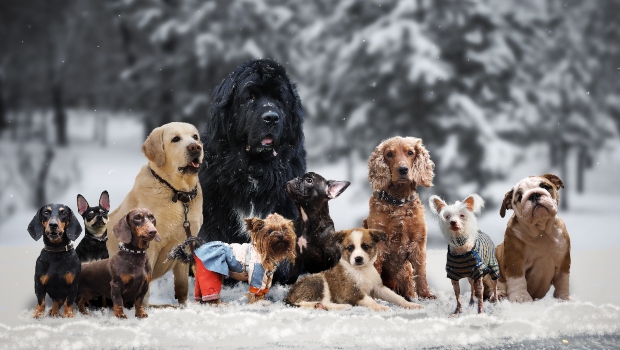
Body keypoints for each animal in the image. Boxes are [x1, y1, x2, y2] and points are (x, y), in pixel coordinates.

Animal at [106, 123, 203, 306]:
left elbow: (182, 287)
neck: (177, 193)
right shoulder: (149, 247)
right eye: (175, 139)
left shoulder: (185, 245)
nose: (195, 147)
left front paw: (184, 306)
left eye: (195, 137)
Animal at [167, 213, 296, 304]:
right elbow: (256, 292)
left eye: (284, 229)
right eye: (269, 231)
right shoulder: (257, 273)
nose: (281, 236)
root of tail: (194, 253)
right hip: (210, 271)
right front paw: (258, 304)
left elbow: (264, 290)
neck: (267, 252)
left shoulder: (267, 277)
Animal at [284, 228, 422, 310]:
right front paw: (379, 307)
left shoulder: (378, 288)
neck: (362, 270)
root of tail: (289, 294)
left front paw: (410, 304)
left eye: (365, 246)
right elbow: (369, 300)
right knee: (304, 302)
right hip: (318, 281)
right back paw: (339, 306)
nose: (358, 258)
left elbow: (397, 297)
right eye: (350, 248)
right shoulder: (352, 291)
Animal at [494, 174, 572, 302]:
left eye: (545, 186)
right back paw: (499, 294)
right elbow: (517, 278)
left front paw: (564, 298)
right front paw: (521, 298)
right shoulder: (515, 258)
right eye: (519, 197)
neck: (541, 231)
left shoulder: (564, 261)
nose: (534, 195)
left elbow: (563, 281)